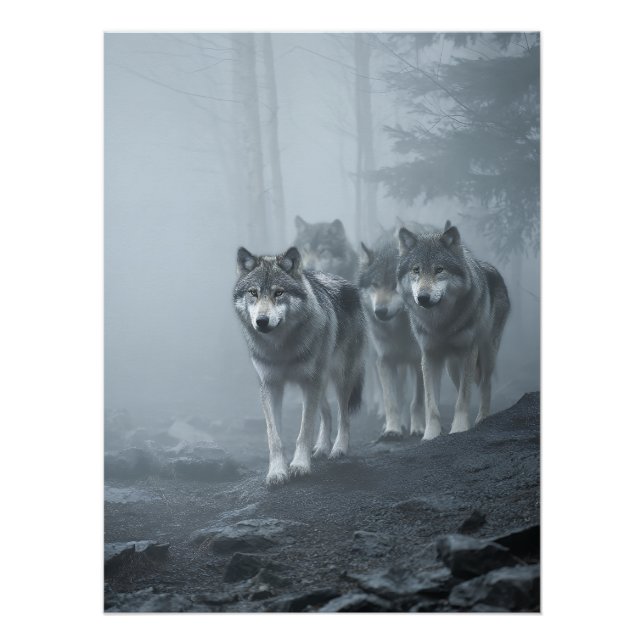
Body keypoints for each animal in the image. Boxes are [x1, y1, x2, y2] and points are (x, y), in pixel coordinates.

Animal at [233, 246, 366, 484]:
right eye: (253, 292)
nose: (262, 321)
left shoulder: (310, 382)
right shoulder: (271, 386)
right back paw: (322, 447)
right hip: (320, 382)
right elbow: (274, 436)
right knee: (327, 413)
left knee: (343, 416)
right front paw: (277, 471)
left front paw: (300, 465)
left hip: (340, 378)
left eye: (278, 293)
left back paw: (339, 449)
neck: (280, 349)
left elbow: (304, 430)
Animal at [358, 233, 424, 438]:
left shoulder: (418, 360)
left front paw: (418, 428)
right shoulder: (385, 360)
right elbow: (391, 400)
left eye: (395, 285)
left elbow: (417, 401)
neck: (399, 331)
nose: (380, 311)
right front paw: (392, 429)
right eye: (375, 285)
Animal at [397, 221, 510, 439]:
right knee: (462, 386)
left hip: (487, 353)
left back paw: (482, 419)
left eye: (439, 269)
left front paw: (459, 429)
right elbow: (432, 404)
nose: (423, 297)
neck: (441, 324)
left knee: (485, 385)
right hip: (452, 366)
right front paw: (430, 435)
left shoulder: (468, 351)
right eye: (416, 270)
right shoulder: (430, 356)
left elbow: (463, 398)